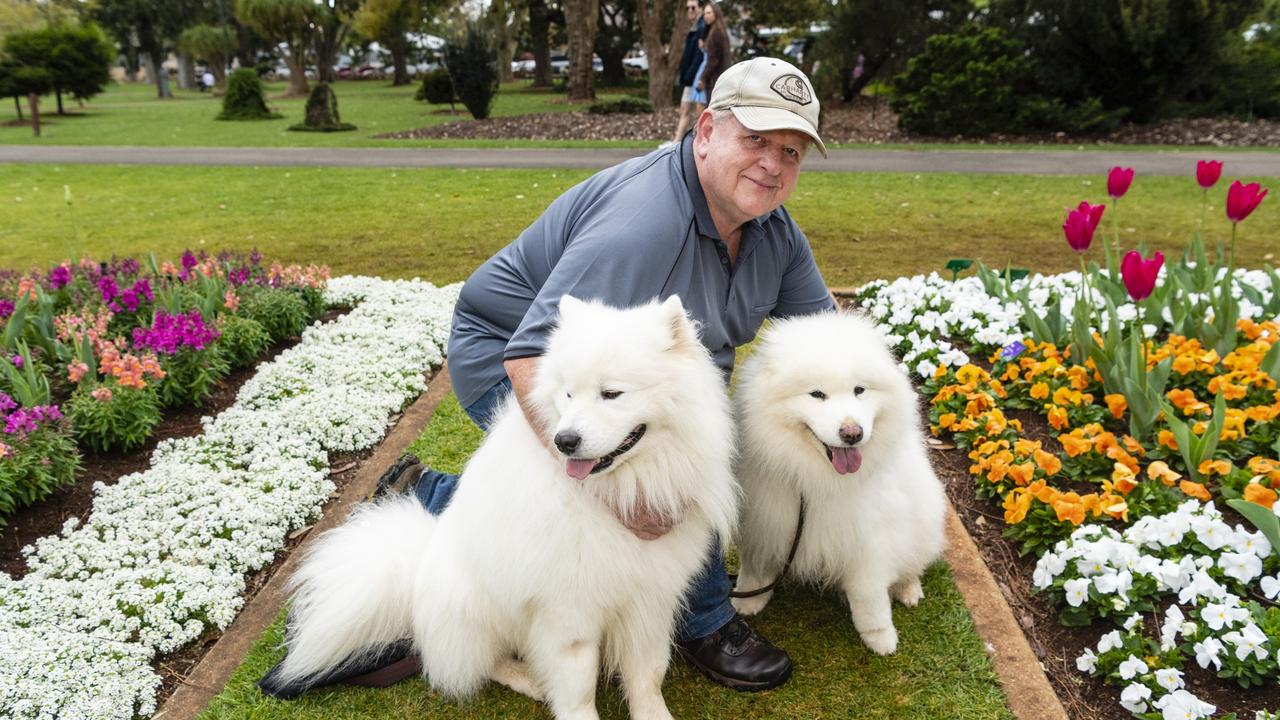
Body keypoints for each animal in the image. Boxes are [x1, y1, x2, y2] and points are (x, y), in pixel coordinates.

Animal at [271, 294, 737, 712]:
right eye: (568, 395)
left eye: (611, 394)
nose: (564, 441)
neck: (617, 494)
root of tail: (415, 570)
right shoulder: (569, 613)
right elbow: (579, 691)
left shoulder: (651, 598)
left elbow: (647, 676)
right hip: (476, 611)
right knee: (480, 663)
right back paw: (528, 678)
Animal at [727, 311, 947, 653]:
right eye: (817, 394)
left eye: (860, 390)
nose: (852, 433)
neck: (817, 478)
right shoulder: (765, 522)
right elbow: (756, 569)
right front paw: (748, 602)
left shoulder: (870, 539)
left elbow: (869, 596)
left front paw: (880, 637)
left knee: (914, 562)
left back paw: (909, 590)